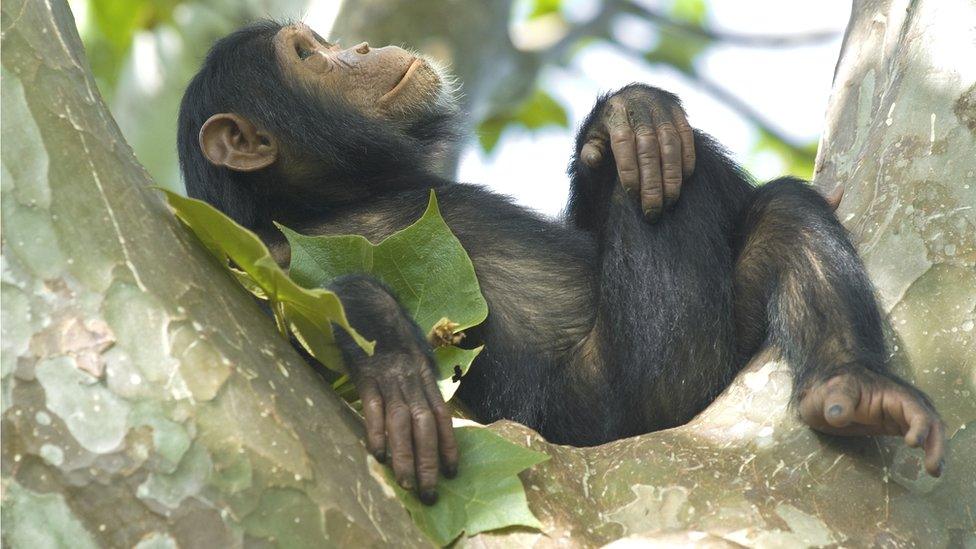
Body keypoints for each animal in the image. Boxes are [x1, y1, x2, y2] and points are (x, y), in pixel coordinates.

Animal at [177, 21, 944, 504]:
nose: (356, 45)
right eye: (308, 55)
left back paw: (854, 385)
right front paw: (391, 361)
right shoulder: (260, 250)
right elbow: (294, 305)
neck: (334, 194)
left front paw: (631, 116)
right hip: (651, 382)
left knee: (776, 210)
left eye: (322, 42)